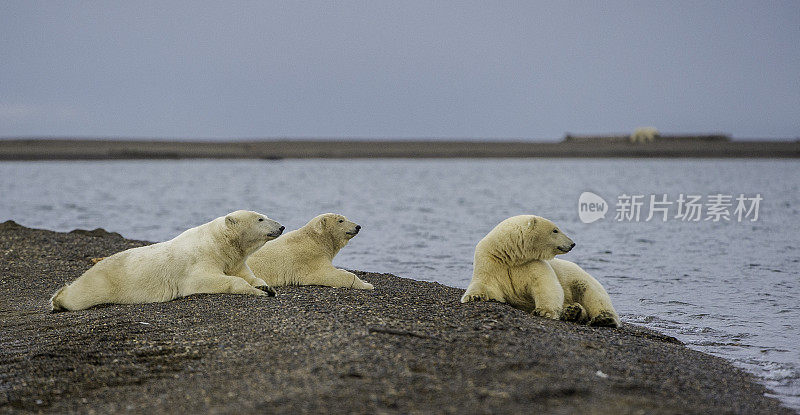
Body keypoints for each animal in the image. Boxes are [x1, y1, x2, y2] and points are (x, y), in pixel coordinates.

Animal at [49, 211, 284, 312]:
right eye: (260, 218)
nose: (281, 226)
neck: (218, 243)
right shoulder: (198, 261)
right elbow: (206, 279)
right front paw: (258, 291)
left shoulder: (234, 260)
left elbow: (248, 274)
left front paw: (266, 286)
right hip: (104, 282)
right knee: (81, 295)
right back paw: (58, 300)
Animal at [245, 213, 374, 290]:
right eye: (341, 221)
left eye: (346, 218)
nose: (358, 226)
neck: (316, 239)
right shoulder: (309, 258)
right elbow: (329, 274)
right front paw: (367, 285)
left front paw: (364, 280)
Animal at [460, 214, 620, 328]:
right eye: (555, 230)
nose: (572, 243)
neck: (511, 256)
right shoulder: (490, 262)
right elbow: (484, 283)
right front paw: (474, 297)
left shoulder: (533, 264)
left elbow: (546, 285)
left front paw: (543, 311)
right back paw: (572, 311)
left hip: (577, 276)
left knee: (593, 294)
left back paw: (604, 319)